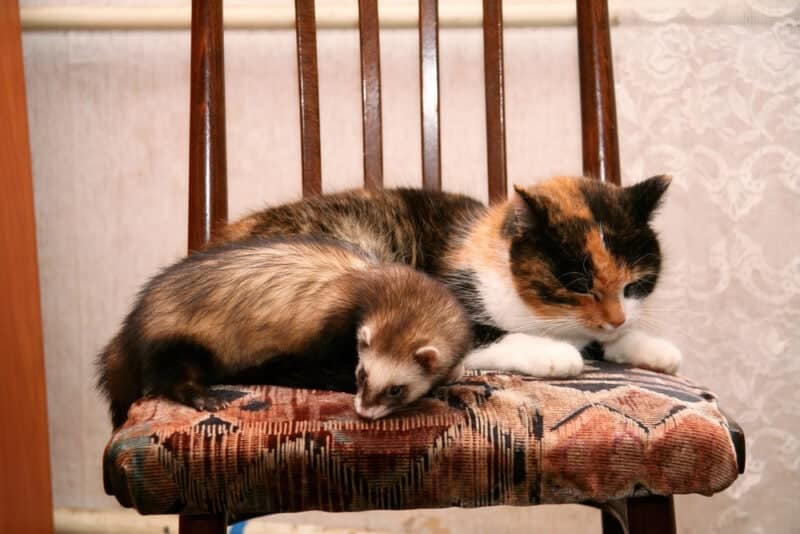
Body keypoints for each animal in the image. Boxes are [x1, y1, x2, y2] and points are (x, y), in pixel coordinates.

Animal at [212, 178, 680, 378]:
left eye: (635, 284)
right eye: (580, 285)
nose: (617, 319)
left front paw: (649, 347)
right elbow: (482, 336)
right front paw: (555, 353)